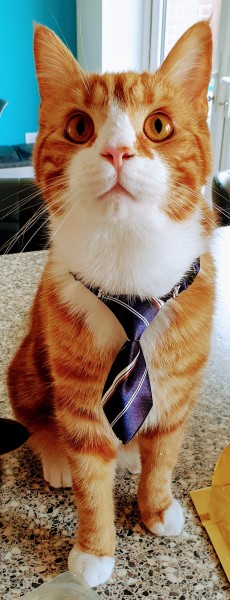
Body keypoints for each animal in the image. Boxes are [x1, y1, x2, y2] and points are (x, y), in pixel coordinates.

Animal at [7, 21, 216, 584]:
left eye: (159, 125)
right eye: (80, 127)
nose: (118, 151)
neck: (131, 283)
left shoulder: (180, 389)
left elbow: (165, 452)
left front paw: (156, 505)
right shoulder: (79, 397)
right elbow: (89, 475)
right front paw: (94, 550)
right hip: (29, 367)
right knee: (35, 421)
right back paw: (54, 456)